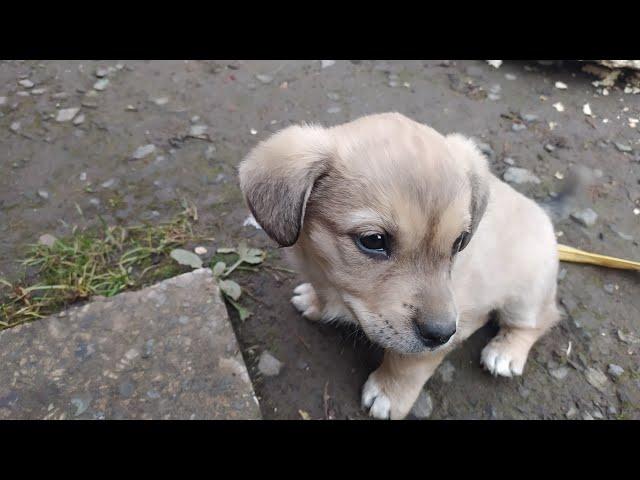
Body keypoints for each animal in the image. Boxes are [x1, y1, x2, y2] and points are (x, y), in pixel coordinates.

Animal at [239, 113, 560, 420]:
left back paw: (505, 351)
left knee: (540, 320)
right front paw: (315, 301)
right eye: (374, 240)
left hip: (527, 295)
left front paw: (389, 393)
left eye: (459, 242)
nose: (442, 333)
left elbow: (409, 363)